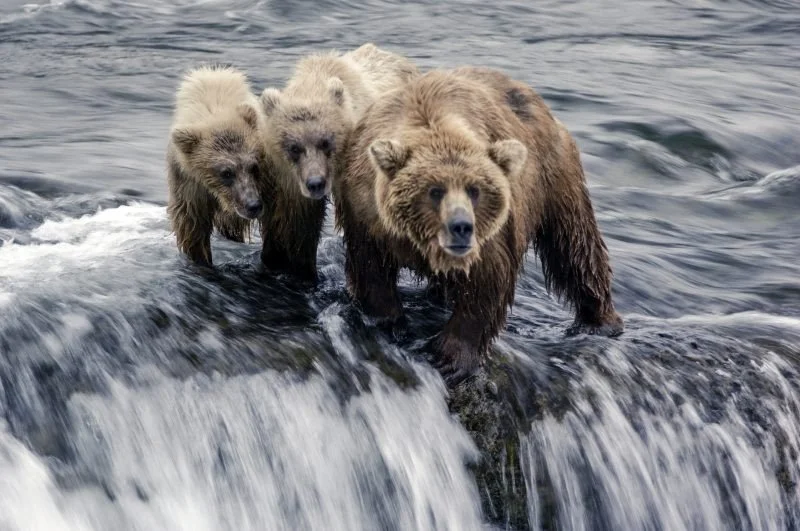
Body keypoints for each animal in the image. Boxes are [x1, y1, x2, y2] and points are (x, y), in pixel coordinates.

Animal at [333, 66, 624, 385]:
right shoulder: (365, 214)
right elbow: (371, 269)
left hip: (556, 178)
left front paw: (450, 358)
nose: (461, 226)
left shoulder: (492, 234)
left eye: (475, 190)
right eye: (434, 190)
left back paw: (600, 320)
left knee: (575, 246)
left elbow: (486, 283)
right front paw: (389, 323)